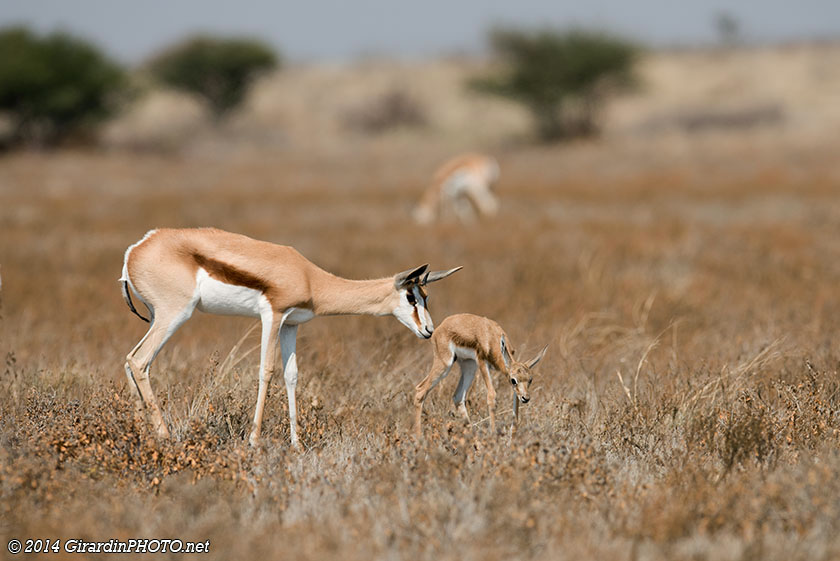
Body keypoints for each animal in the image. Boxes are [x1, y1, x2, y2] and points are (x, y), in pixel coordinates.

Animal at [120, 227, 461, 448]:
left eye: (426, 296)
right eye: (411, 297)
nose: (428, 330)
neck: (310, 278)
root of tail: (135, 250)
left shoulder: (291, 325)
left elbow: (291, 375)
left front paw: (296, 444)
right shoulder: (272, 315)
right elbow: (266, 371)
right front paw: (254, 441)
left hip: (156, 317)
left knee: (130, 360)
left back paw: (139, 434)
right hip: (174, 314)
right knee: (140, 361)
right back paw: (164, 437)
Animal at [414, 313, 547, 437]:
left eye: (530, 380)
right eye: (513, 380)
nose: (526, 398)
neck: (492, 337)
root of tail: (440, 327)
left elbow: (516, 402)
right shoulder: (482, 362)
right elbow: (492, 396)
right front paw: (493, 435)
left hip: (469, 366)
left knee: (458, 396)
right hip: (445, 364)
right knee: (420, 390)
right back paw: (419, 438)